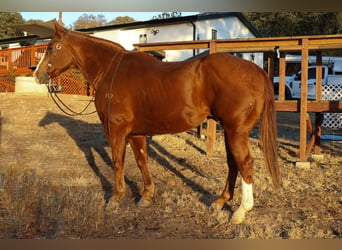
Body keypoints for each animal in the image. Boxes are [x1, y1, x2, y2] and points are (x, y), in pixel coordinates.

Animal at [34, 22, 280, 225]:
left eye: (51, 47)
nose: (37, 75)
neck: (112, 71)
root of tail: (256, 70)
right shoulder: (135, 133)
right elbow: (142, 161)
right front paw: (146, 196)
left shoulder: (116, 131)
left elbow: (117, 163)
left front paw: (115, 199)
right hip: (229, 131)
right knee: (233, 164)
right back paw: (219, 202)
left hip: (236, 131)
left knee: (245, 163)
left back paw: (241, 212)